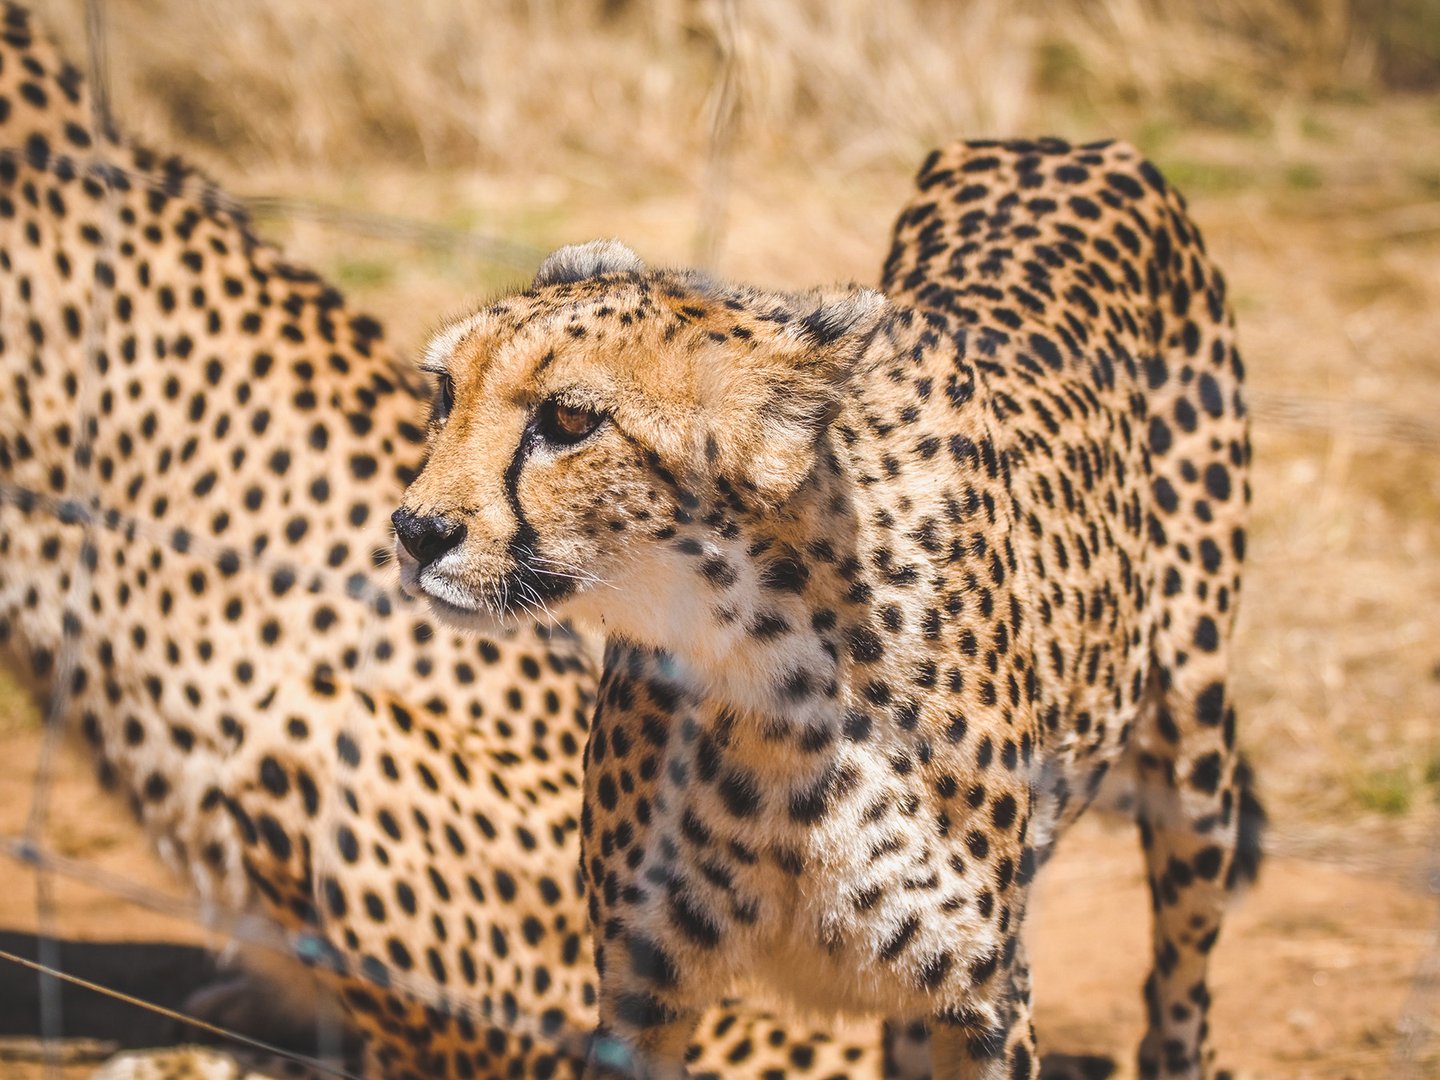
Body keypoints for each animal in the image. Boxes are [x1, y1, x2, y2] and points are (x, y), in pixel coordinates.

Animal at [393, 138, 1264, 1080]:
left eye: (568, 420)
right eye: (445, 394)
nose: (416, 530)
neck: (768, 678)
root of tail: (1065, 144)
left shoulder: (987, 1002)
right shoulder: (640, 992)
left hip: (1195, 752)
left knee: (1180, 988)